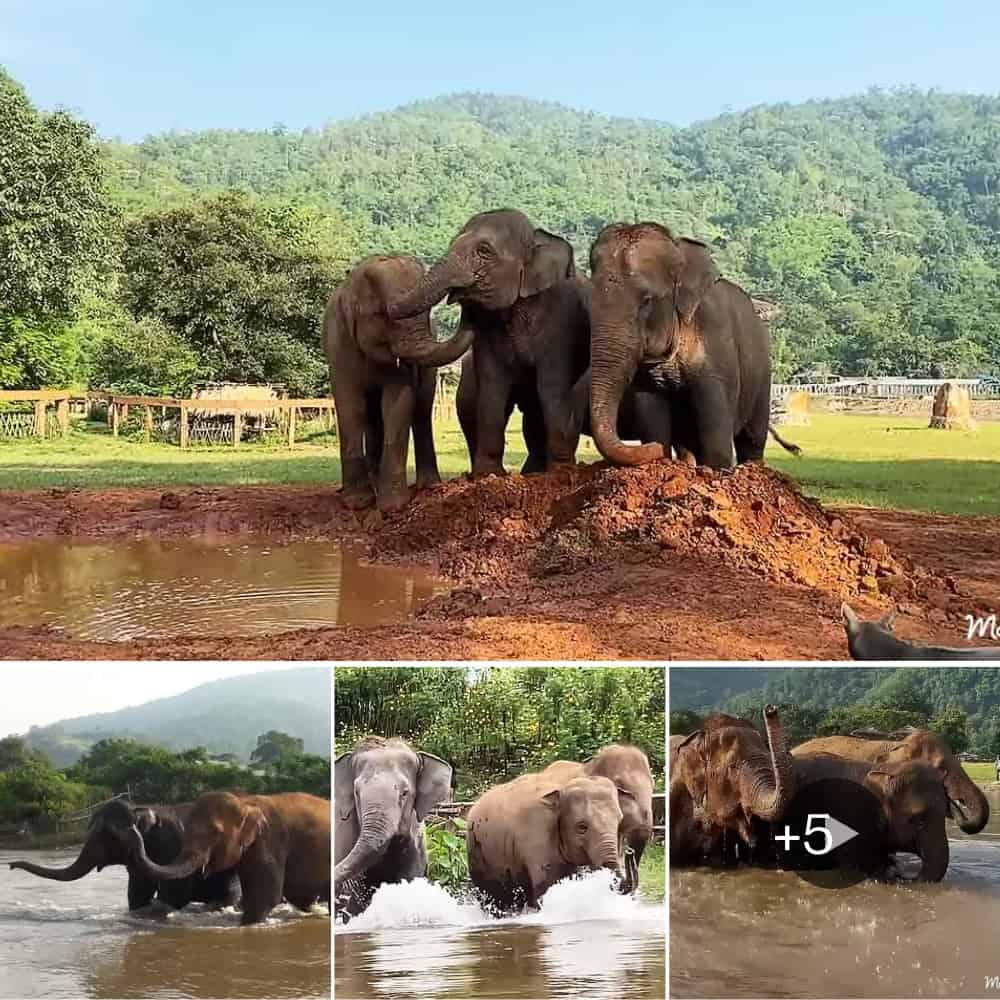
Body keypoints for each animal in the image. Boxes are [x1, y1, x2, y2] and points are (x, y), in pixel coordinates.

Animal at [8, 798, 239, 911]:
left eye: (107, 835)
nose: (10, 865)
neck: (141, 809)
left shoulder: (172, 847)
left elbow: (175, 894)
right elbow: (137, 892)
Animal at [128, 790, 330, 925]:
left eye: (215, 833)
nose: (134, 825)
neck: (246, 802)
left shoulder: (271, 842)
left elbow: (265, 896)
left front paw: (246, 925)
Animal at [324, 254, 473, 511]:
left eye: (426, 314)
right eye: (387, 315)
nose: (463, 295)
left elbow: (398, 403)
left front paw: (392, 506)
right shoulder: (340, 345)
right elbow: (350, 407)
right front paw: (358, 502)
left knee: (421, 410)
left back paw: (429, 486)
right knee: (372, 415)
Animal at [387, 208, 591, 476]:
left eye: (484, 250)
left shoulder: (561, 319)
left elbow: (552, 383)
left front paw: (561, 472)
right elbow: (493, 381)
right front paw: (488, 474)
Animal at [587, 222, 776, 470]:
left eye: (646, 300)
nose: (651, 450)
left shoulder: (716, 345)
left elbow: (716, 436)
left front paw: (717, 470)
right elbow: (653, 419)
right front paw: (661, 452)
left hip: (763, 377)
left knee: (752, 439)